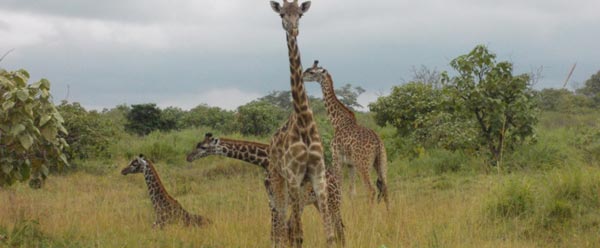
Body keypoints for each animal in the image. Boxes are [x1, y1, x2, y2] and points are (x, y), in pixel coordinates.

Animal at [185, 133, 344, 243]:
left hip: (333, 201)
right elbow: (275, 234)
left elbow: (282, 233)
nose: (188, 157)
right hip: (317, 203)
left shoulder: (282, 200)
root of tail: (335, 178)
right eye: (198, 144)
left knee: (339, 227)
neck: (266, 161)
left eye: (203, 147)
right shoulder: (271, 201)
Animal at [268, 0, 338, 247]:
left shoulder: (317, 175)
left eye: (300, 14)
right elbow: (298, 234)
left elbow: (330, 235)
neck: (304, 122)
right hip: (278, 178)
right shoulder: (293, 176)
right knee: (281, 224)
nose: (293, 29)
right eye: (281, 14)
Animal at [302, 60, 392, 209]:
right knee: (385, 187)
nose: (302, 76)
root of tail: (378, 142)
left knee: (371, 189)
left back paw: (370, 213)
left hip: (363, 164)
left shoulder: (336, 156)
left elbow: (339, 185)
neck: (337, 122)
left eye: (312, 72)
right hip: (381, 162)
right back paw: (389, 213)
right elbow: (352, 192)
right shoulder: (350, 164)